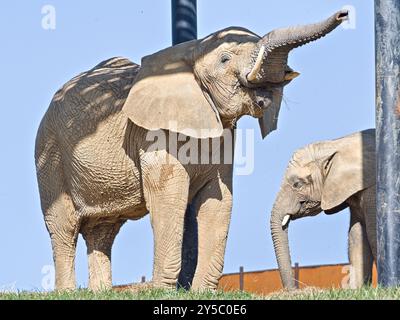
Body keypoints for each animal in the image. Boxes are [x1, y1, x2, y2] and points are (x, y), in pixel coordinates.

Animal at [35, 10, 346, 290]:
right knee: (64, 226)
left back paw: (101, 292)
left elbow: (218, 200)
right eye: (225, 59)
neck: (192, 50)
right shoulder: (155, 133)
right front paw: (160, 290)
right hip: (50, 155)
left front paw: (201, 292)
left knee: (103, 231)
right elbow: (169, 197)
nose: (344, 14)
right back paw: (67, 291)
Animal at [270, 129, 376, 288]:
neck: (335, 144)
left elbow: (373, 233)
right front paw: (356, 290)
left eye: (297, 184)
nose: (294, 290)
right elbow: (357, 236)